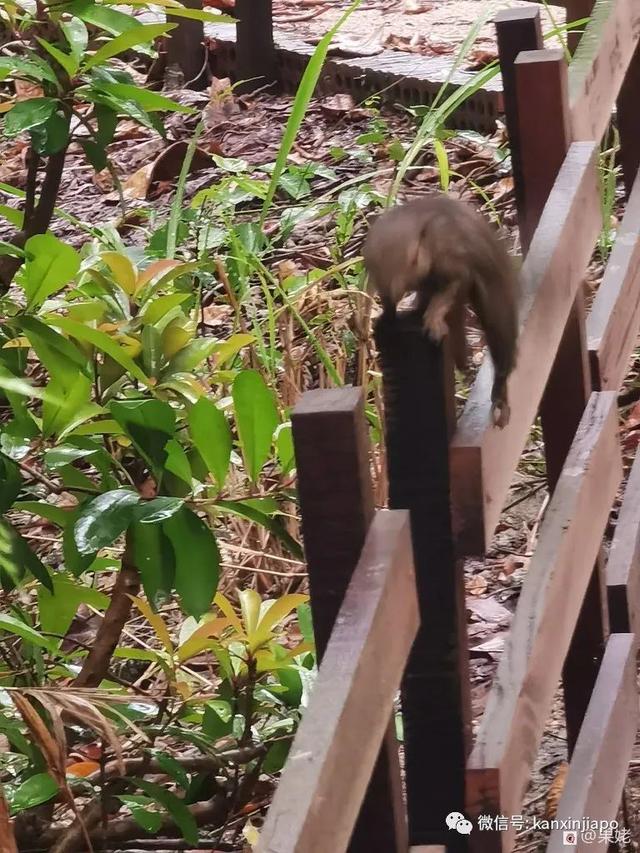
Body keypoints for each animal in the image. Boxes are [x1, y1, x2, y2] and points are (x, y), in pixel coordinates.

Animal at [360, 196, 520, 430]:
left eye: (414, 258)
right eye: (372, 267)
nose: (394, 289)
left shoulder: (454, 267)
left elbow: (445, 293)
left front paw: (433, 321)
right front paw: (386, 318)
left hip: (495, 305)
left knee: (503, 352)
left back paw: (499, 396)